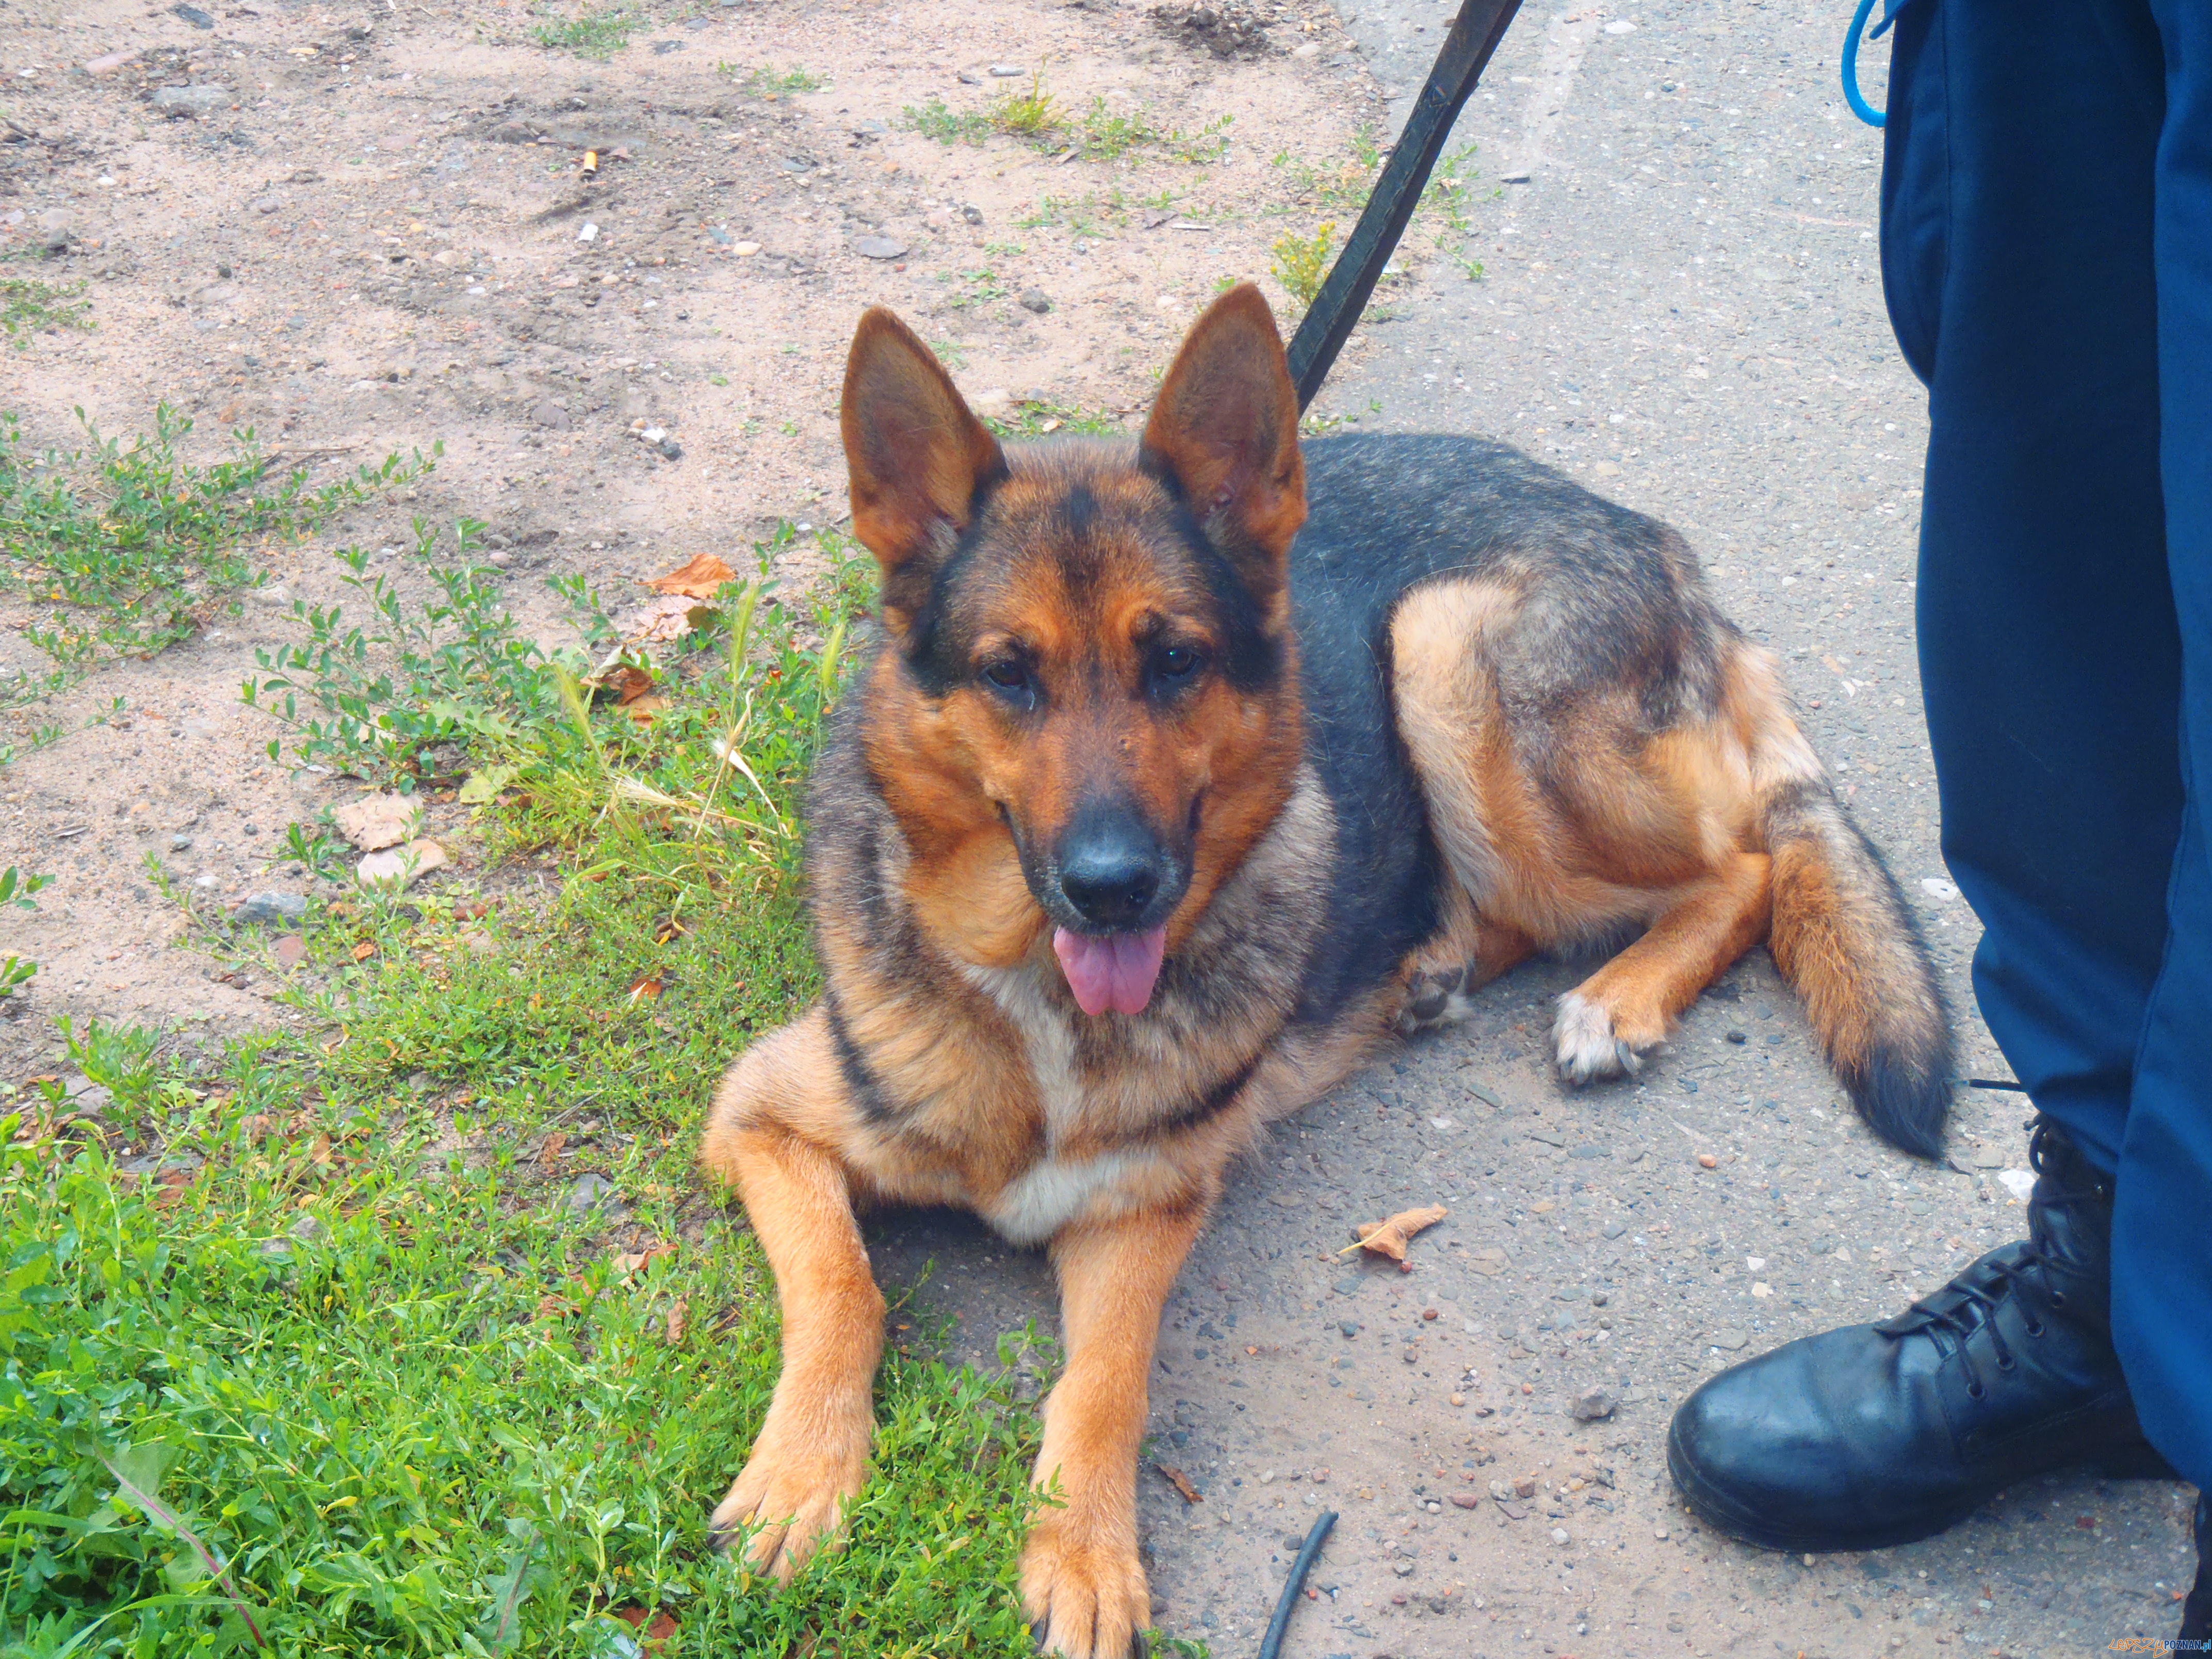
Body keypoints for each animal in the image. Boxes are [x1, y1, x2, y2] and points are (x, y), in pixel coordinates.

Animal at [699, 283, 1946, 1654]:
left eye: (1175, 661)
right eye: (1006, 674)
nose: (1113, 885)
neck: (1036, 998)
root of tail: (1646, 536)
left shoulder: (1144, 1210)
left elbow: (1104, 1382)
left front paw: (1084, 1549)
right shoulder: (758, 1117)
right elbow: (843, 1288)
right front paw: (802, 1477)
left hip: (1444, 650)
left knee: (1743, 864)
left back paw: (1613, 999)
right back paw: (1431, 965)